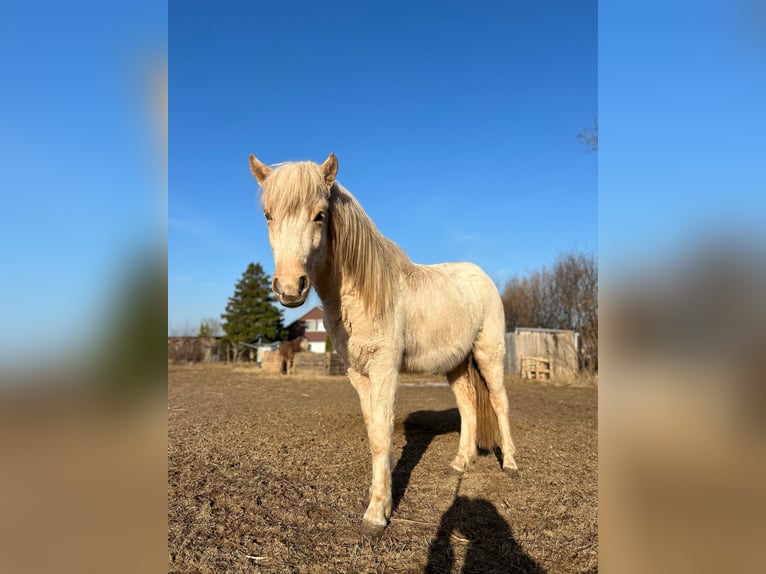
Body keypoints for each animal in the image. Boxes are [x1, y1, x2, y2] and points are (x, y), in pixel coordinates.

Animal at [249, 152, 518, 538]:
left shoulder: (385, 369)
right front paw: (380, 497)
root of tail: (482, 278)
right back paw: (460, 462)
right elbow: (374, 433)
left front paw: (377, 514)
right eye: (268, 215)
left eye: (320, 215)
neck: (363, 292)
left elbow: (383, 433)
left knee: (499, 403)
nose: (289, 287)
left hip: (488, 355)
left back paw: (510, 463)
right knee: (468, 406)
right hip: (455, 364)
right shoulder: (358, 373)